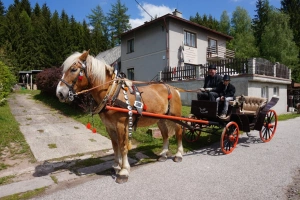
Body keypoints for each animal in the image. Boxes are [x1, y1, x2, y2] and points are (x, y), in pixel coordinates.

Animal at [55, 50, 184, 183]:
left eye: (73, 69)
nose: (59, 93)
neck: (111, 93)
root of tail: (173, 88)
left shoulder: (121, 125)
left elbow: (122, 146)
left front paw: (123, 171)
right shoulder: (109, 126)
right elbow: (115, 146)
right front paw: (116, 166)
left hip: (176, 117)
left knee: (179, 131)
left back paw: (179, 154)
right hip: (161, 119)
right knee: (165, 134)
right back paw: (163, 154)